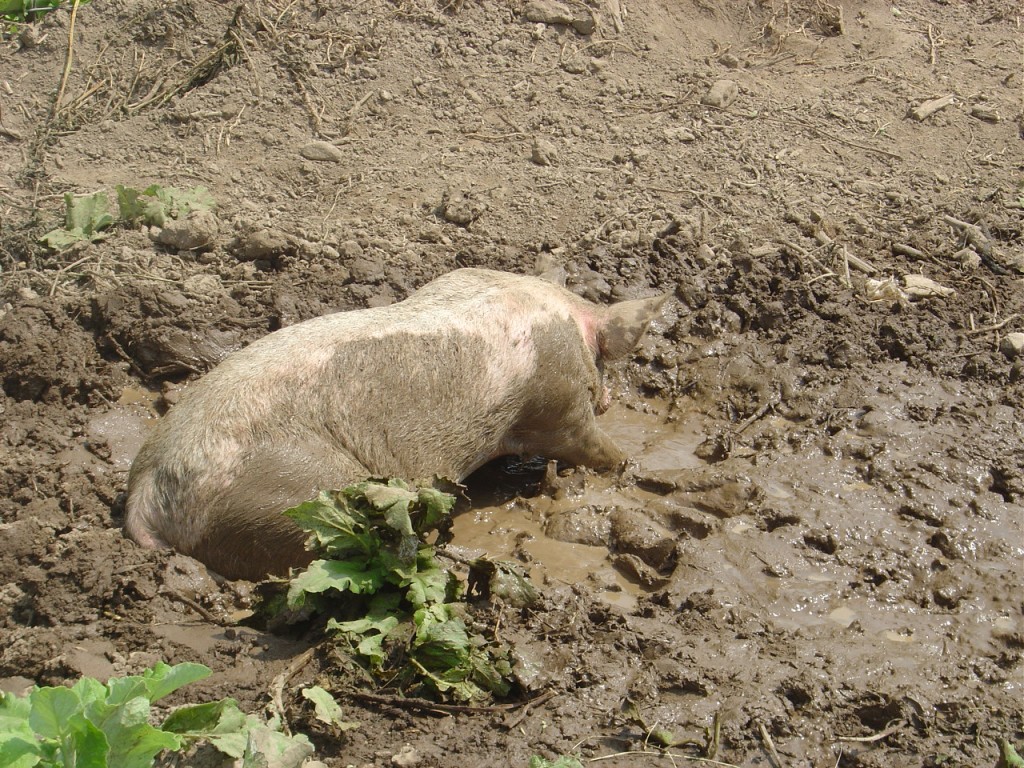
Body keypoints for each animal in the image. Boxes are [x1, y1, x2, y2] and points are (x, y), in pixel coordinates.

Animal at [125, 268, 668, 581]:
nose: (610, 398)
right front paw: (629, 466)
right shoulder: (558, 401)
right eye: (605, 367)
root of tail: (148, 489)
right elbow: (589, 444)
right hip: (296, 496)